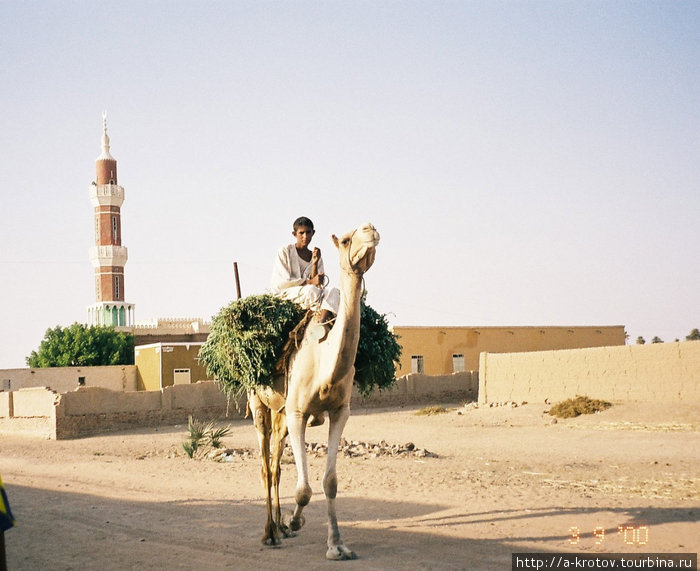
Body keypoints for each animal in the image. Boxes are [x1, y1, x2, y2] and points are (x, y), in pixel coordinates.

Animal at [247, 221, 380, 560]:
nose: (370, 228)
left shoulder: (339, 411)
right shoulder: (298, 413)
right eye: (345, 240)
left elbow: (329, 482)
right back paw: (270, 532)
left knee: (276, 465)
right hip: (259, 404)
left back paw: (278, 528)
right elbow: (304, 489)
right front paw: (295, 522)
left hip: (280, 413)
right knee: (265, 466)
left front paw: (337, 545)